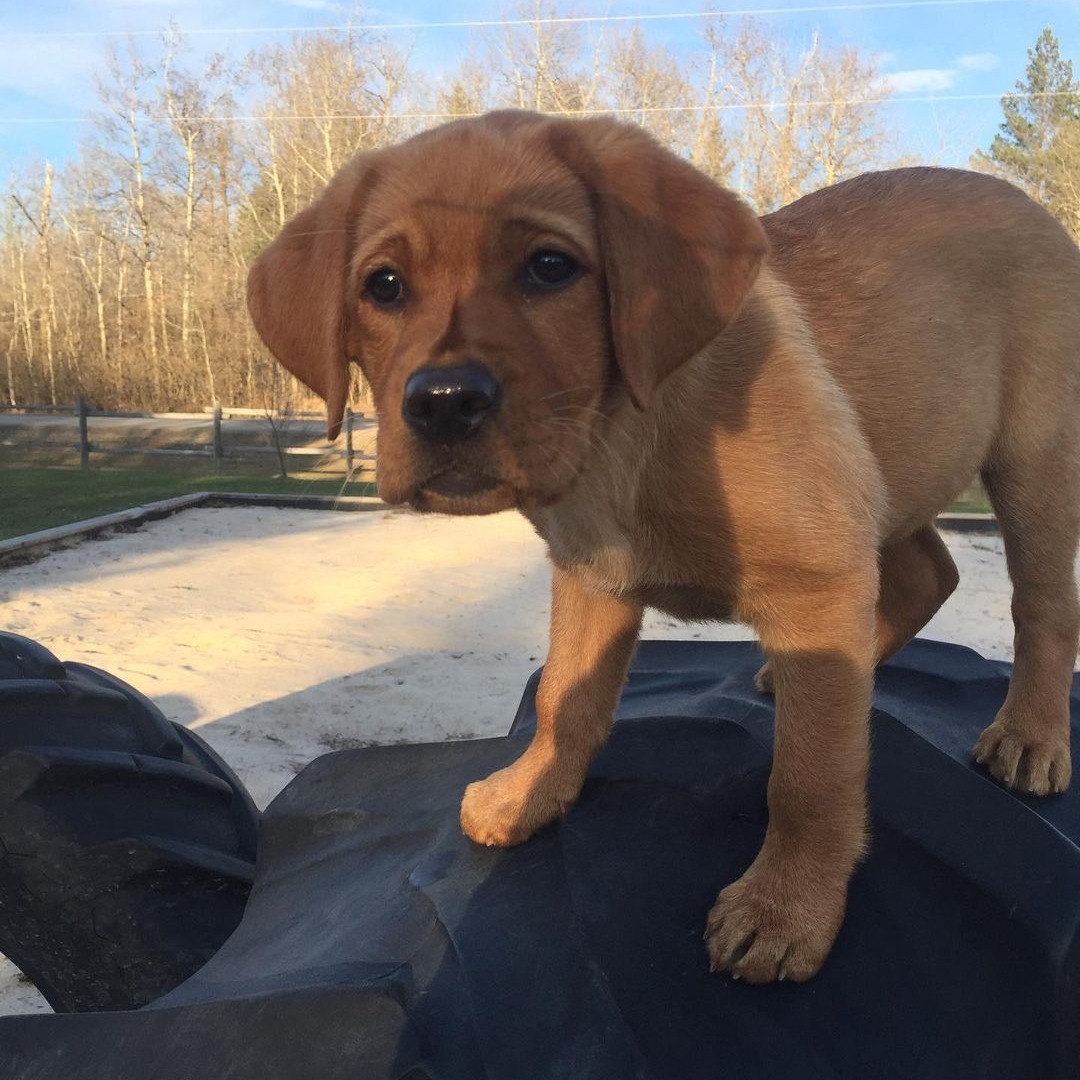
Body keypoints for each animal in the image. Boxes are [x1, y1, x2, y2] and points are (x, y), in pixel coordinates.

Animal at [247, 113, 1080, 984]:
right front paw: (528, 794)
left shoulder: (817, 569)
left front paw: (787, 907)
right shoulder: (591, 576)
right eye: (383, 286)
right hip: (891, 469)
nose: (443, 403)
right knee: (927, 577)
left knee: (1043, 607)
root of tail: (1028, 205)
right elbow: (564, 702)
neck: (617, 436)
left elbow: (812, 775)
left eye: (551, 267)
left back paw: (1030, 735)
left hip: (1034, 457)